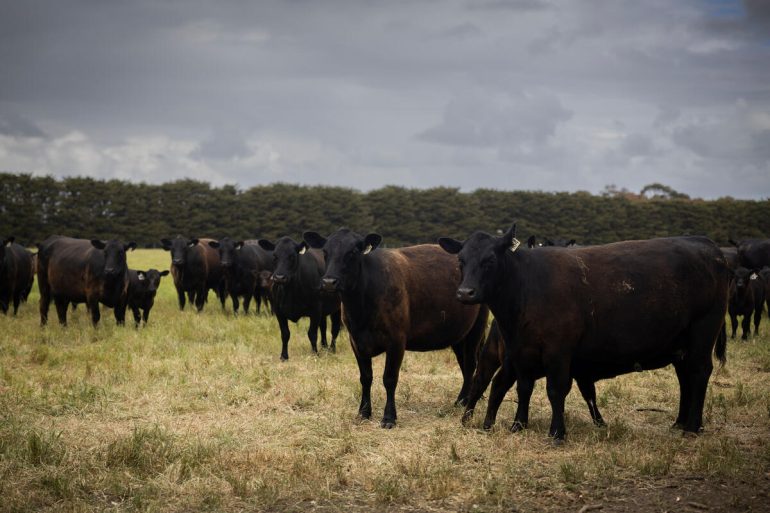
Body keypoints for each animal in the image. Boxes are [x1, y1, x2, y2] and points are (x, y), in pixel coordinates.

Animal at [303, 229, 489, 429]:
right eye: (325, 252)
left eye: (352, 252)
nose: (329, 282)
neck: (361, 308)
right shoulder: (356, 341)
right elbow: (365, 377)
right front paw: (363, 412)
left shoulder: (397, 339)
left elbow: (390, 378)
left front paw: (389, 417)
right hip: (458, 334)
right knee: (464, 364)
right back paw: (463, 399)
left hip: (476, 329)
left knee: (470, 364)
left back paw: (462, 401)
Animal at [439, 225, 728, 441]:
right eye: (460, 261)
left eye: (489, 261)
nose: (465, 293)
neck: (526, 287)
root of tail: (707, 245)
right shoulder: (522, 352)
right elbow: (523, 388)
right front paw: (518, 425)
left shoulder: (558, 352)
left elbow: (555, 390)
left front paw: (557, 433)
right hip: (682, 342)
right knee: (685, 377)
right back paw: (681, 422)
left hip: (703, 331)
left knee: (699, 372)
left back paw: (692, 427)